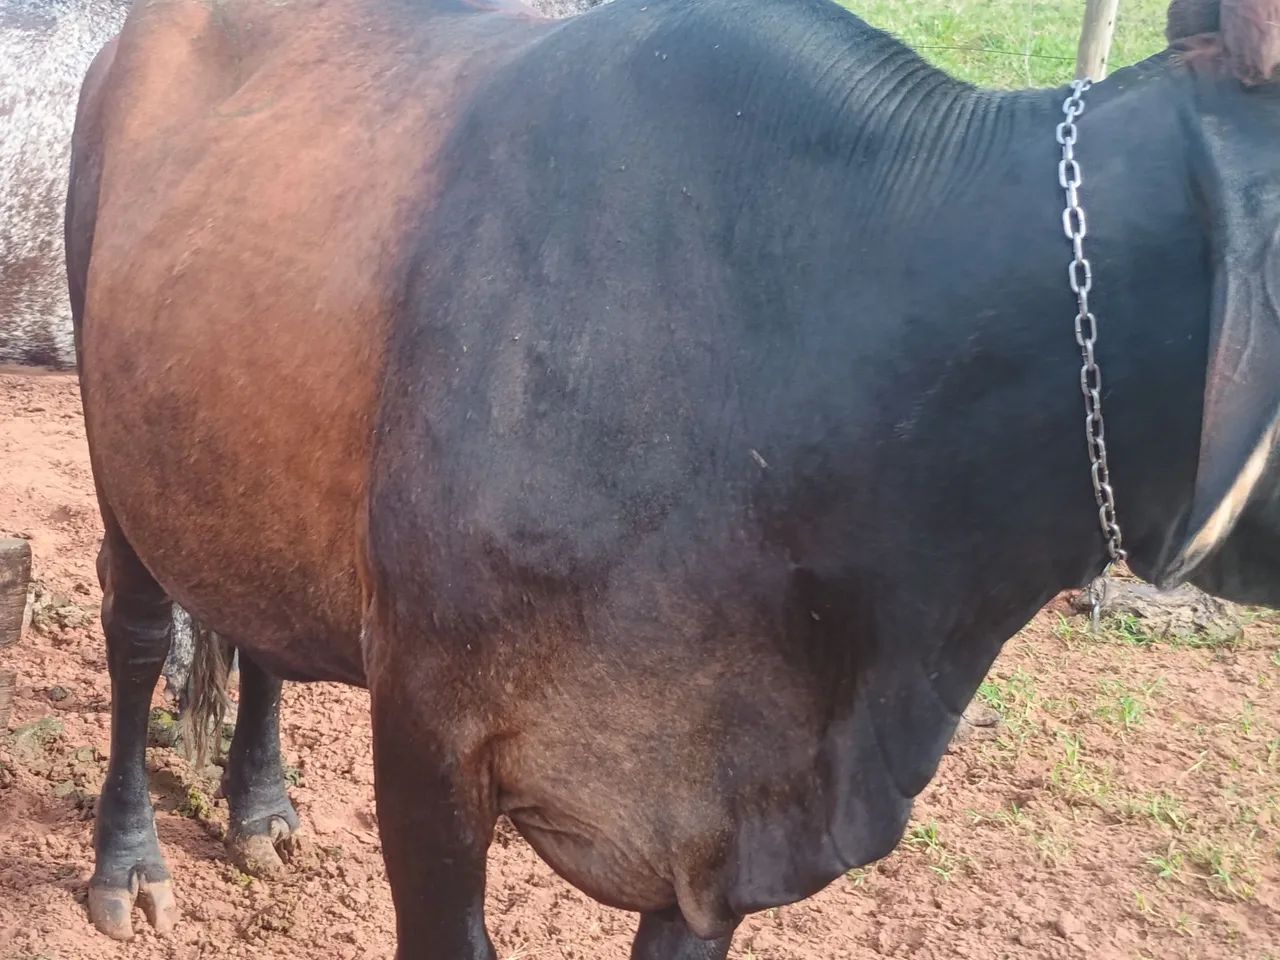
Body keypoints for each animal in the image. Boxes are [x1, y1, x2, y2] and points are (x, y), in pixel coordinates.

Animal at [67, 0, 1280, 956]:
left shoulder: (724, 842)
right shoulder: (426, 735)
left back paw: (260, 811)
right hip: (116, 446)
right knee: (137, 634)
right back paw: (128, 866)